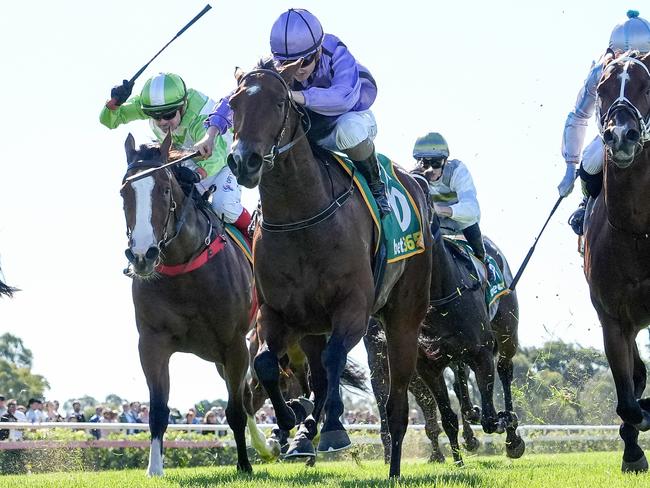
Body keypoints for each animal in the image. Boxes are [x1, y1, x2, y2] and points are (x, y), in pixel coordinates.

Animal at [120, 133, 278, 476]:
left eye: (165, 188)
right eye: (124, 191)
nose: (142, 255)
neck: (183, 266)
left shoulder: (233, 343)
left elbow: (234, 410)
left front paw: (244, 466)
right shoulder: (152, 343)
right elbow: (157, 410)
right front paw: (155, 469)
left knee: (245, 396)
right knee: (247, 395)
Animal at [227, 61, 430, 476]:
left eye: (278, 102)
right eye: (234, 103)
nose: (243, 161)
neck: (300, 216)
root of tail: (415, 182)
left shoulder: (352, 306)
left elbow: (336, 359)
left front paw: (334, 428)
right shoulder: (276, 312)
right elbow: (266, 362)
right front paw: (289, 420)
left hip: (403, 317)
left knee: (396, 405)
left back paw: (393, 469)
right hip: (310, 327)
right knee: (317, 380)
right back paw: (304, 435)